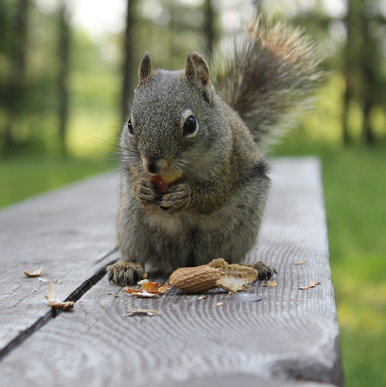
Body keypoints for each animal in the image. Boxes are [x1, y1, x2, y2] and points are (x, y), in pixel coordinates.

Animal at [107, 18, 322, 288]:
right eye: (130, 125)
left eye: (190, 124)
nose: (153, 166)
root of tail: (182, 261)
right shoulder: (134, 165)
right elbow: (136, 178)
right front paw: (143, 188)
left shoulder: (227, 163)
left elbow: (213, 194)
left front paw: (184, 196)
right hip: (131, 223)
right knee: (136, 251)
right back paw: (126, 265)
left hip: (240, 229)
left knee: (229, 256)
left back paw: (251, 267)